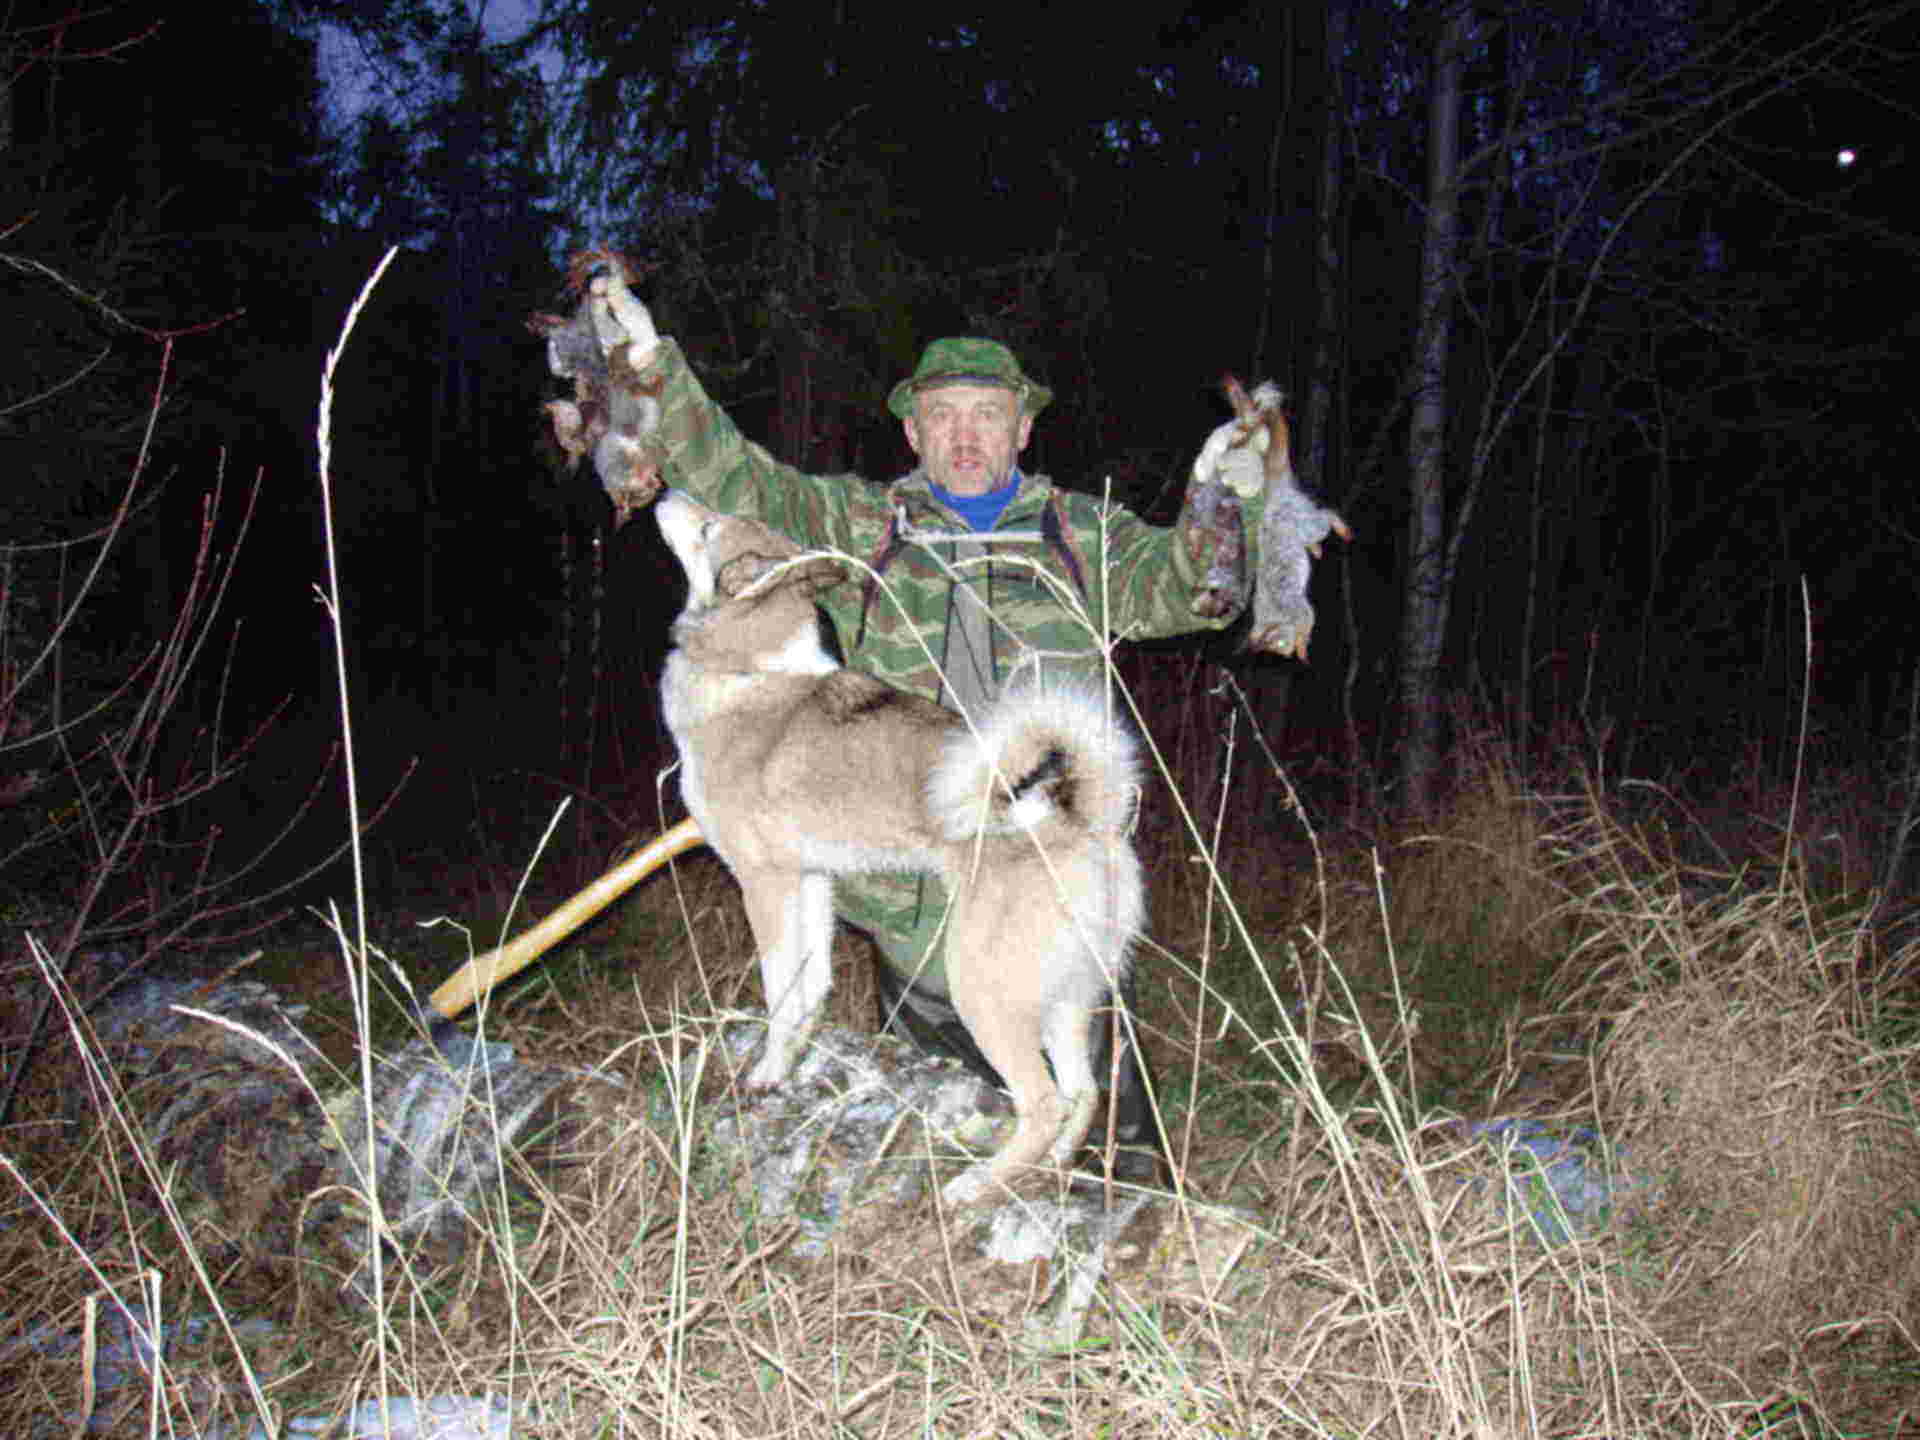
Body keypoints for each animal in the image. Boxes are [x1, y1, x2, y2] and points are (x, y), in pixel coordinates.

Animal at [660, 491, 1136, 1213]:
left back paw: (976, 1185)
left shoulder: (766, 883)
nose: (664, 494)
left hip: (982, 987)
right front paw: (795, 1062)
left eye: (709, 523)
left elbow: (779, 996)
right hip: (1063, 997)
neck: (749, 667)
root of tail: (1080, 818)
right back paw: (1047, 1170)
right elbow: (809, 990)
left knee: (1046, 1101)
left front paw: (768, 1073)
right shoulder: (812, 882)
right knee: (1082, 1093)